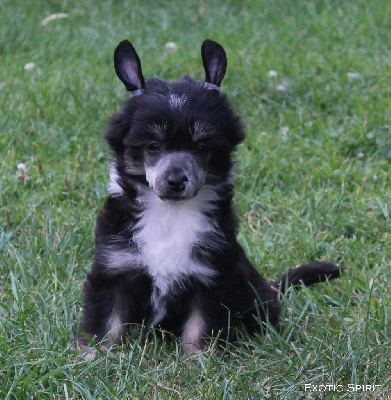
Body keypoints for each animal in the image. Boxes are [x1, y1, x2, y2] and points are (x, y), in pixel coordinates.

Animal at [79, 39, 344, 354]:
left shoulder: (210, 276)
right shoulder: (113, 268)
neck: (170, 214)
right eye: (153, 146)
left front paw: (198, 360)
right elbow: (105, 320)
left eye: (202, 147)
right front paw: (93, 356)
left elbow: (200, 327)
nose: (176, 181)